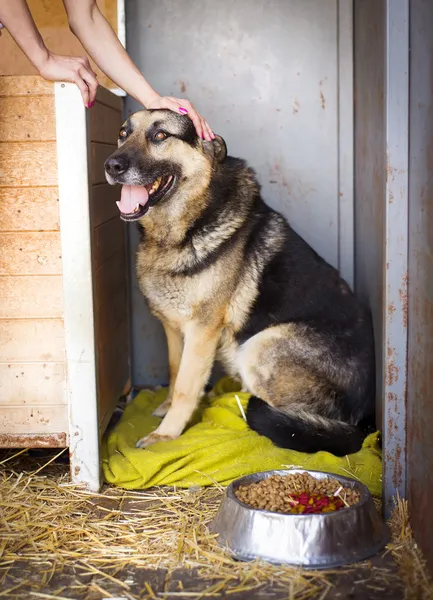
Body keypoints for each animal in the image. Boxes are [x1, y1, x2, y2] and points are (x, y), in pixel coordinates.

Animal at [104, 109, 374, 454]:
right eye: (123, 134)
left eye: (161, 135)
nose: (111, 166)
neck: (184, 227)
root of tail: (364, 421)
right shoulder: (172, 326)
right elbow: (175, 370)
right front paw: (166, 408)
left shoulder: (202, 330)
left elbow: (186, 386)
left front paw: (166, 434)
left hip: (260, 344)